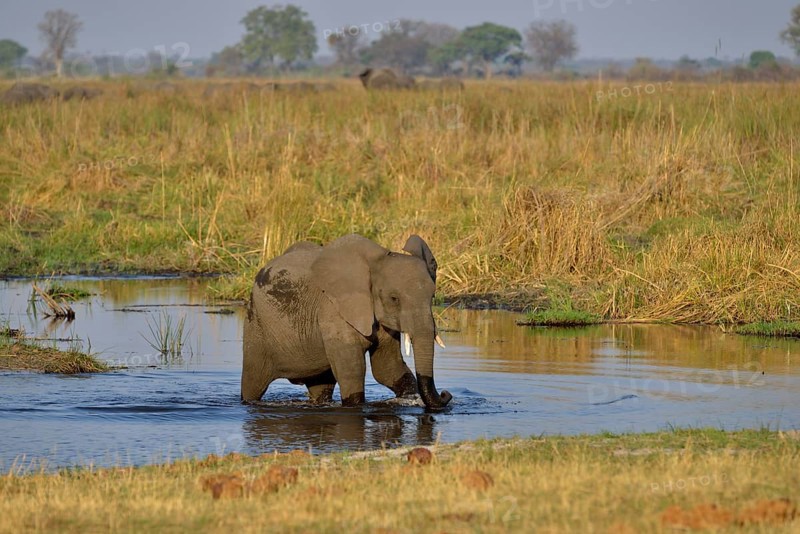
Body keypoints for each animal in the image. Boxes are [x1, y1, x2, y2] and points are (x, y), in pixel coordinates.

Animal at [242, 234, 453, 410]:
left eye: (432, 297)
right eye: (394, 299)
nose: (446, 394)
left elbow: (388, 368)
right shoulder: (332, 310)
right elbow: (352, 370)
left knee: (321, 387)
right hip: (256, 325)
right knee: (253, 383)